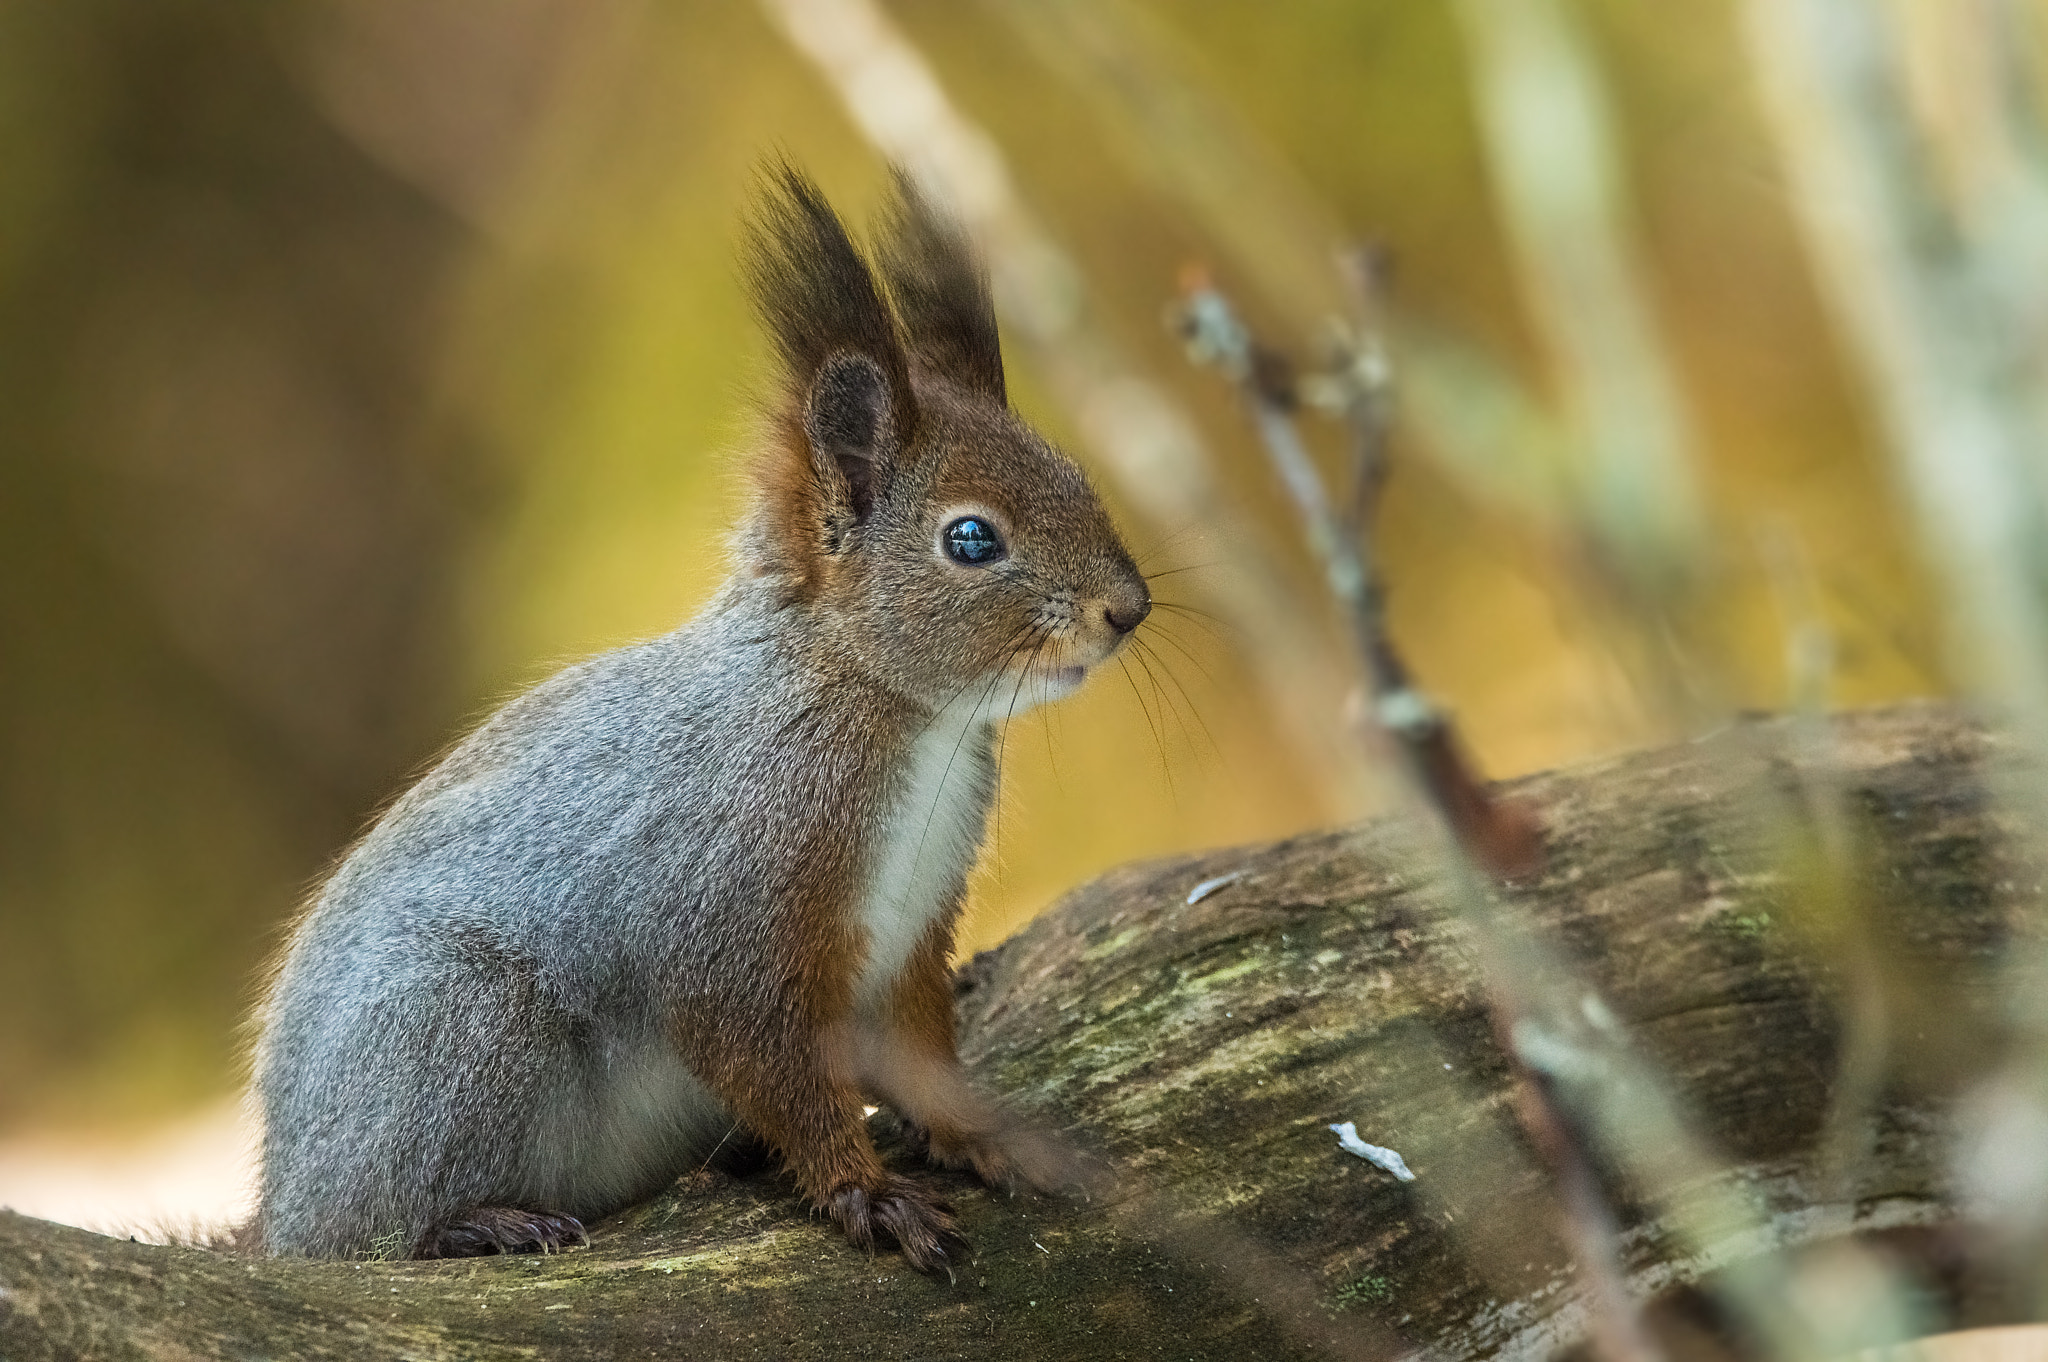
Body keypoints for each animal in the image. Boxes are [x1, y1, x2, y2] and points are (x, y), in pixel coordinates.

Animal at [248, 166, 1152, 1272]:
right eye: (972, 539)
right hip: (456, 1029)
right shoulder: (727, 916)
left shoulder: (907, 941)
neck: (899, 718)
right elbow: (770, 1063)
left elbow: (922, 1059)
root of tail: (285, 1206)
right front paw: (865, 1194)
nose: (1127, 609)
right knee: (380, 1229)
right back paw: (481, 1221)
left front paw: (983, 1139)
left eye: (1076, 476)